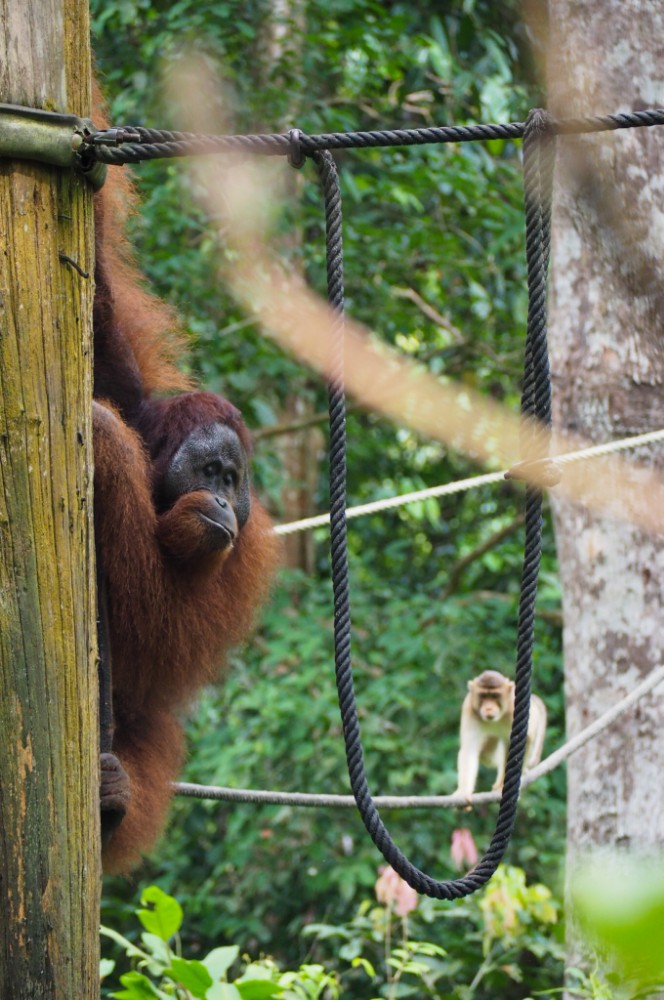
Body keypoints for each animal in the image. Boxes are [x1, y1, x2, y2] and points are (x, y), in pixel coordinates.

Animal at [453, 669, 546, 801]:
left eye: (495, 696)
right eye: (483, 696)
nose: (488, 708)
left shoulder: (513, 706)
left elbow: (526, 740)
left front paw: (503, 785)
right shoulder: (469, 708)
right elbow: (469, 750)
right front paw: (463, 792)